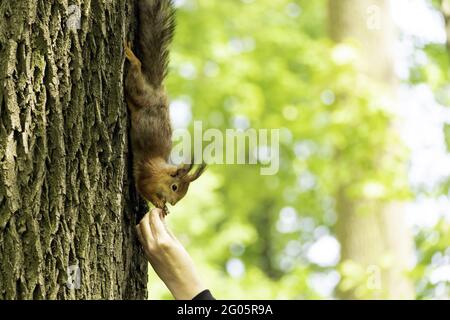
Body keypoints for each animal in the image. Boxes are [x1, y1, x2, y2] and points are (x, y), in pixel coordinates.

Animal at [124, 0, 207, 216]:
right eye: (175, 187)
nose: (174, 203)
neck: (160, 173)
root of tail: (156, 88)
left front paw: (164, 207)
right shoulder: (146, 176)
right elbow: (142, 188)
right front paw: (159, 203)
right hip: (138, 92)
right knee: (136, 72)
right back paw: (131, 57)